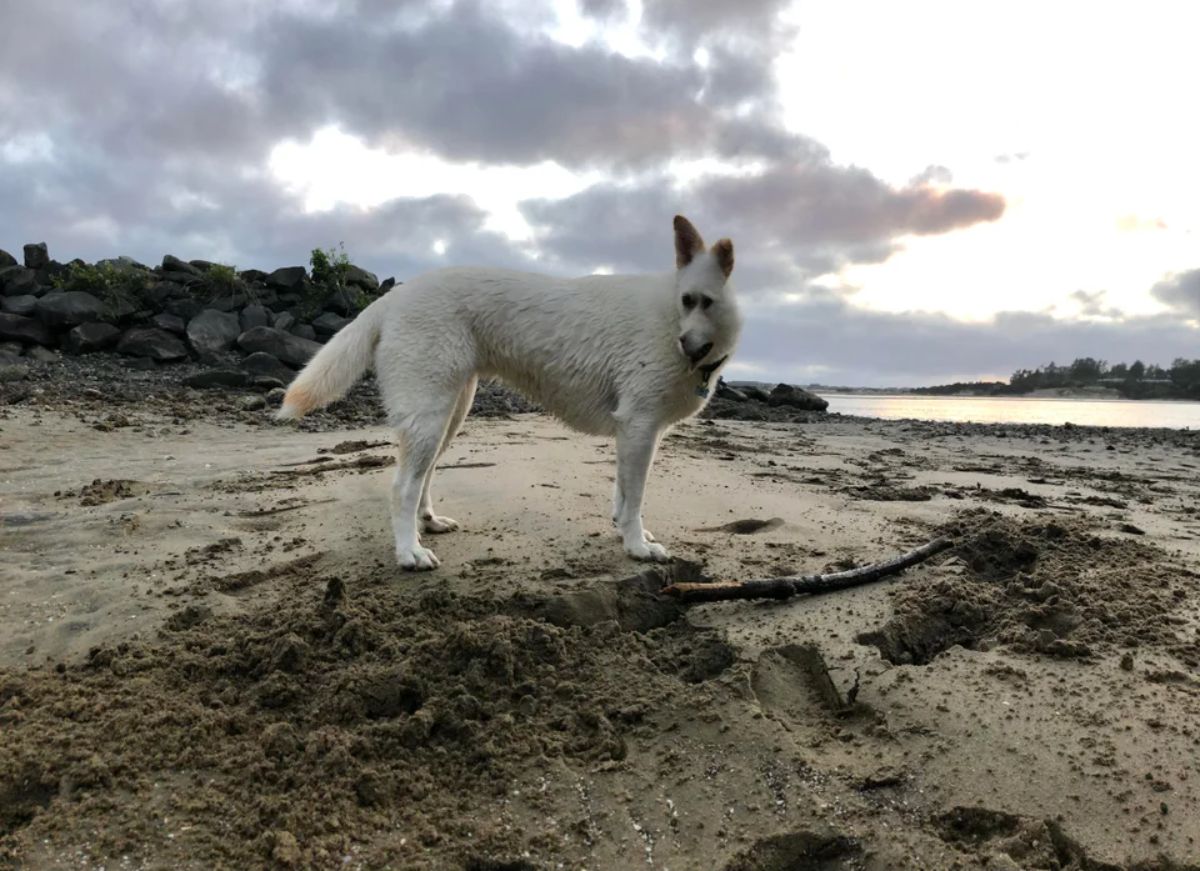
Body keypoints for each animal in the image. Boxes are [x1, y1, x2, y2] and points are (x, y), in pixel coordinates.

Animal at [277, 217, 739, 573]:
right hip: (430, 411)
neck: (669, 316)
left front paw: (630, 533)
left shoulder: (636, 433)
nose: (687, 348)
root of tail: (394, 296)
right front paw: (638, 547)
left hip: (451, 411)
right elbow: (636, 497)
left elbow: (624, 494)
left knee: (423, 475)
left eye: (705, 302)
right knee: (402, 486)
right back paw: (409, 552)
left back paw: (429, 524)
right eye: (687, 300)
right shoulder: (639, 426)